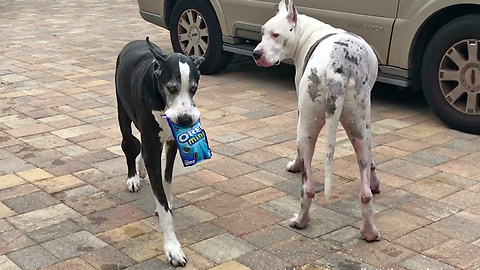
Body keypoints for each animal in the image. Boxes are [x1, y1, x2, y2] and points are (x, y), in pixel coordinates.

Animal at [115, 37, 203, 266]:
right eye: (171, 88)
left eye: (194, 89)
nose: (185, 120)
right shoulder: (153, 145)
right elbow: (162, 205)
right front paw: (173, 248)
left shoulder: (172, 141)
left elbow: (168, 177)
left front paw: (168, 198)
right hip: (122, 112)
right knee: (130, 145)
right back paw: (133, 176)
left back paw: (141, 168)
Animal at [253, 0, 380, 240]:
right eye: (262, 32)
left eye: (275, 35)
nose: (256, 54)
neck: (310, 32)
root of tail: (338, 68)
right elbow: (372, 162)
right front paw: (376, 181)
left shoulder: (300, 113)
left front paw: (294, 165)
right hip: (359, 130)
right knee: (365, 192)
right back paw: (369, 230)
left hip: (307, 129)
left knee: (307, 187)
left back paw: (300, 220)